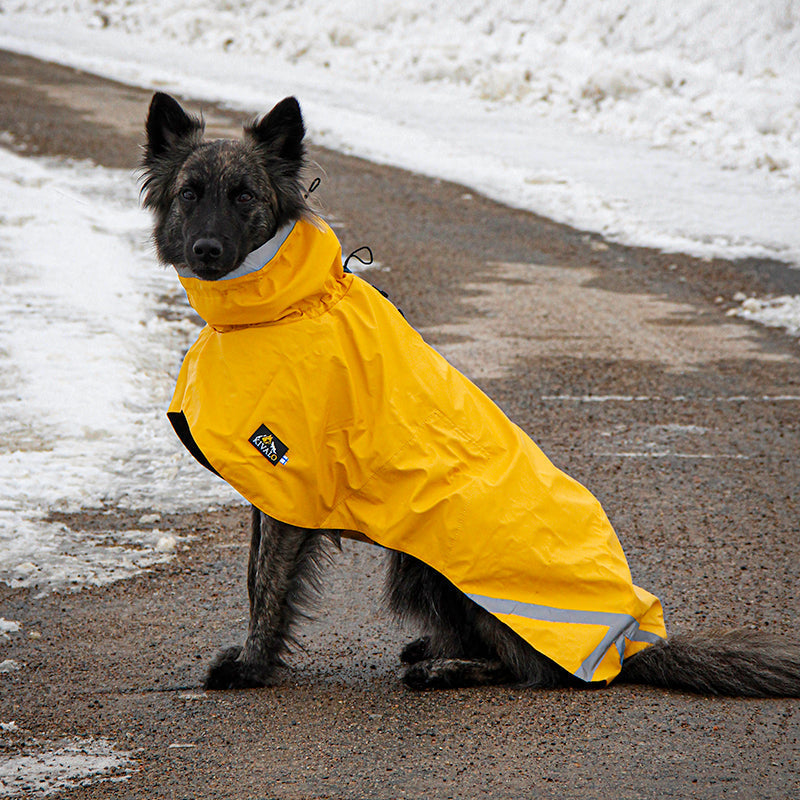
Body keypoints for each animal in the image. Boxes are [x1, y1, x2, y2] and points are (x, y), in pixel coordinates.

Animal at [141, 92, 800, 692]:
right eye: (190, 193)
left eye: (243, 196)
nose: (206, 250)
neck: (285, 305)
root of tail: (626, 647)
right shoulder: (274, 490)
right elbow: (254, 574)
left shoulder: (288, 481)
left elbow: (266, 583)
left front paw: (252, 666)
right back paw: (435, 648)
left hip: (428, 559)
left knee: (529, 671)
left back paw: (444, 668)